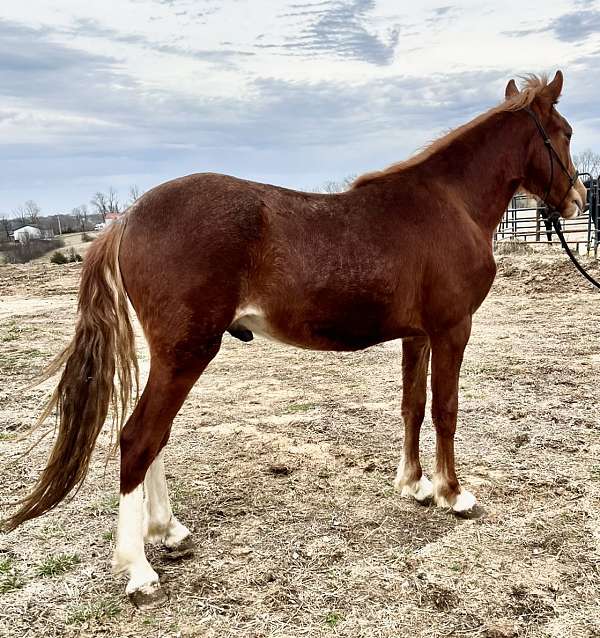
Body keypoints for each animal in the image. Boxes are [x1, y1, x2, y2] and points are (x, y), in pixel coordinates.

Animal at [2, 72, 584, 608]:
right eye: (566, 131)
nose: (577, 198)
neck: (448, 204)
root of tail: (127, 219)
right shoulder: (451, 330)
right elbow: (445, 410)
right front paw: (454, 495)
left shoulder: (417, 337)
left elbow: (413, 406)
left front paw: (414, 485)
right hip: (187, 353)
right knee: (138, 438)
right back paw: (139, 571)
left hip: (169, 356)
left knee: (154, 439)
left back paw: (168, 532)